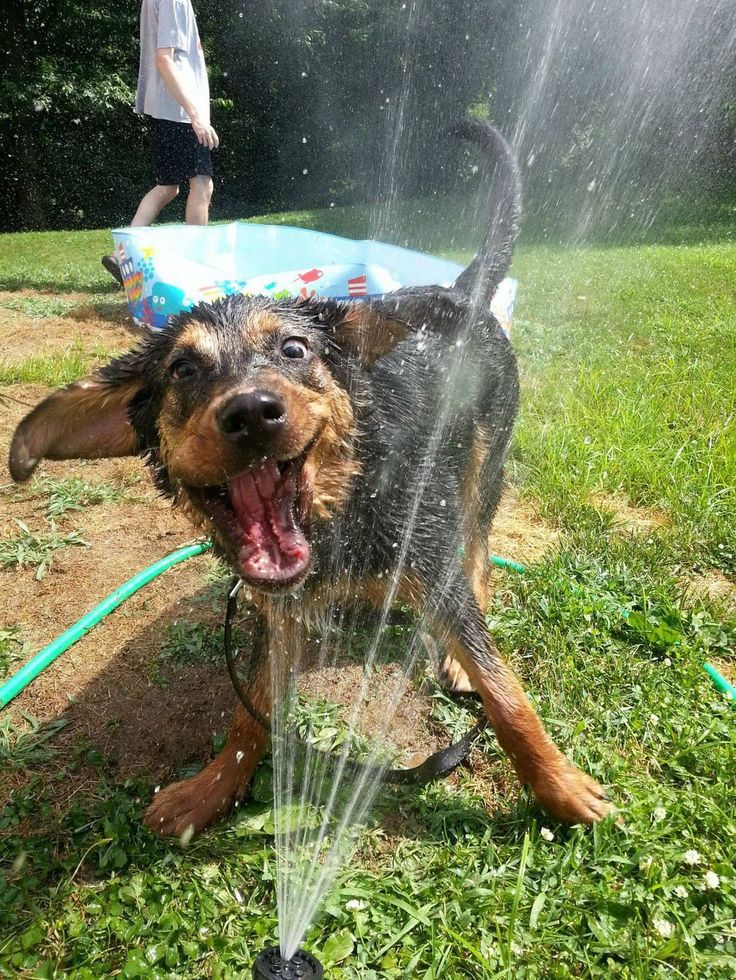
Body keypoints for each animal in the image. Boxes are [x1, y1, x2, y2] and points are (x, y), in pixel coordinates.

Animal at [10, 120, 608, 836]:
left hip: (481, 462)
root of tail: (461, 291)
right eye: (183, 369)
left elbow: (505, 692)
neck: (345, 496)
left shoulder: (427, 557)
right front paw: (210, 789)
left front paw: (561, 788)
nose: (251, 412)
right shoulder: (281, 609)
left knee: (480, 548)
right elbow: (251, 711)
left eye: (294, 350)